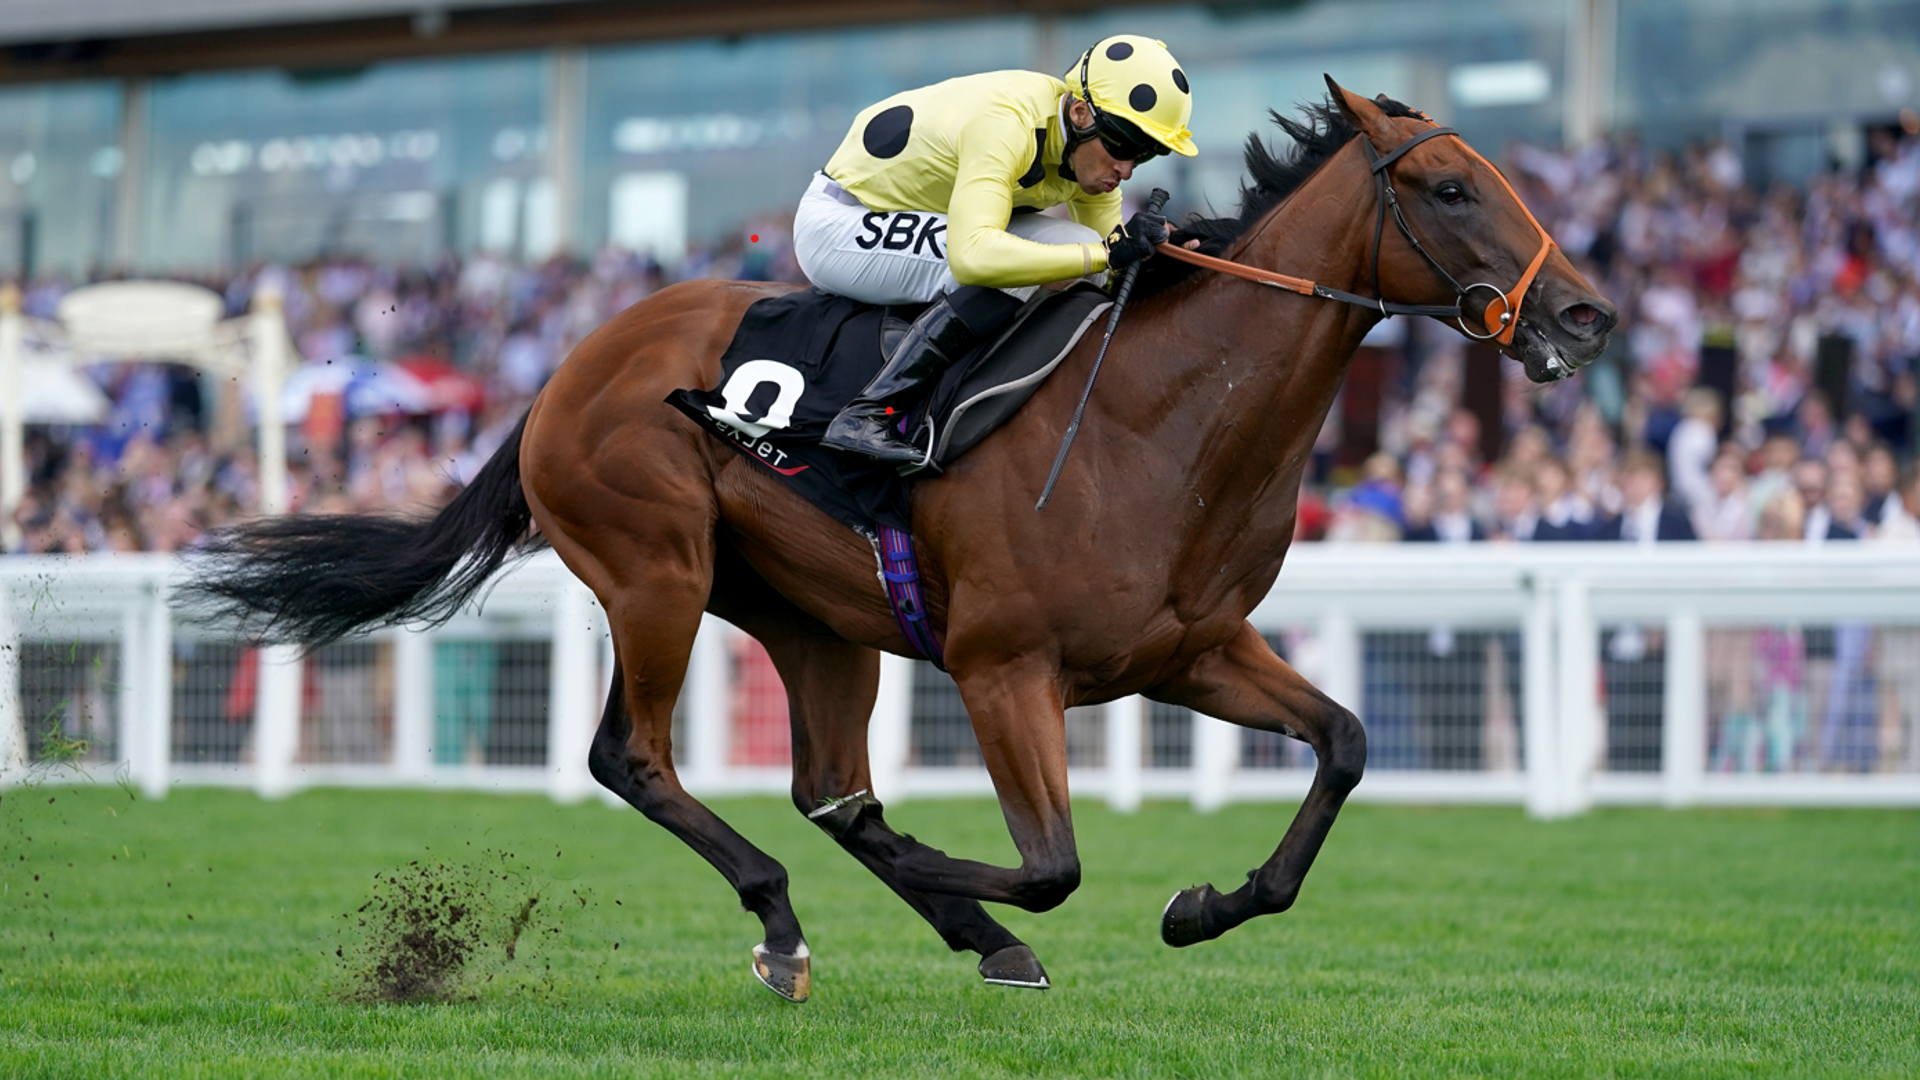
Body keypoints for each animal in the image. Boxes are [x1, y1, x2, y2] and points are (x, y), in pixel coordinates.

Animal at [187, 84, 1612, 999]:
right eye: (1448, 187)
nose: (1588, 314)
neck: (1162, 415)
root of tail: (567, 365)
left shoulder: (1190, 650)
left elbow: (1348, 745)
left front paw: (1202, 907)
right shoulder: (1001, 666)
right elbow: (1052, 864)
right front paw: (978, 881)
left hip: (814, 617)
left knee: (826, 787)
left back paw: (915, 927)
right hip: (656, 571)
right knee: (637, 758)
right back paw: (800, 922)